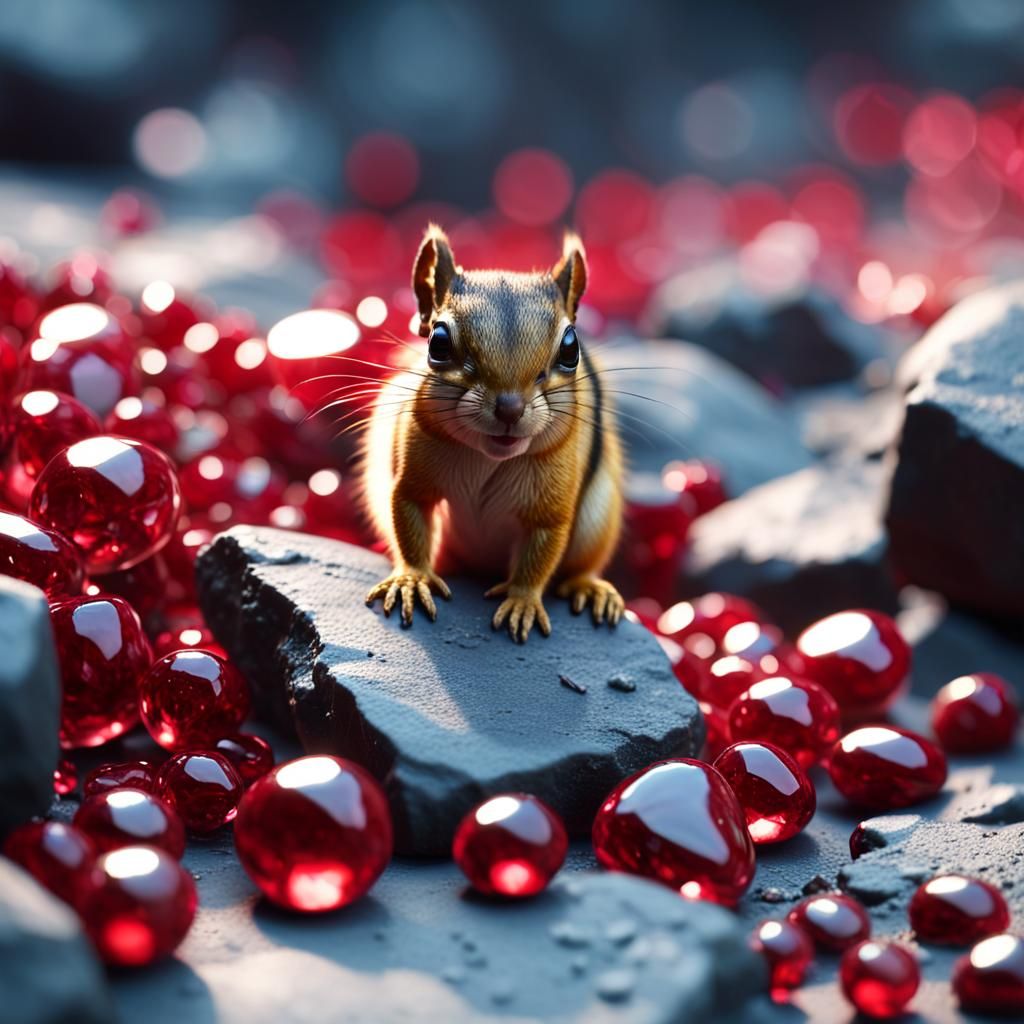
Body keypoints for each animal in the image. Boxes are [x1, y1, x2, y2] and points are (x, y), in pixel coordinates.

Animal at [362, 224, 624, 642]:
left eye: (571, 348)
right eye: (438, 341)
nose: (510, 409)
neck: (488, 459)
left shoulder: (551, 504)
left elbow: (541, 552)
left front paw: (522, 601)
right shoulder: (413, 477)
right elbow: (409, 518)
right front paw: (412, 579)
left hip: (597, 520)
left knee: (582, 565)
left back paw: (591, 588)